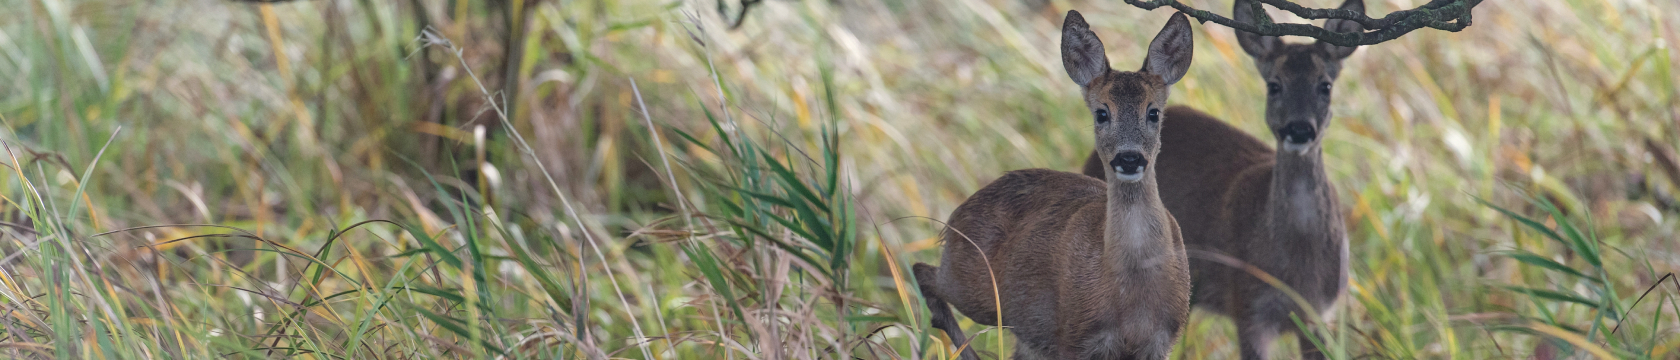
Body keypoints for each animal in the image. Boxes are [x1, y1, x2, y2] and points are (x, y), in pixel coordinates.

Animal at [913, 11, 1202, 360]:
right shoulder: (1074, 337)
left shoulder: (1160, 341)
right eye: (1102, 113)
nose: (1130, 158)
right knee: (922, 271)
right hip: (973, 284)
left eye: (1154, 113)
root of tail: (956, 216)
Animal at [1075, 1, 1364, 358]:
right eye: (1274, 85)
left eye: (1325, 85)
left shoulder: (1321, 313)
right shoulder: (1248, 307)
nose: (1299, 129)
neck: (1299, 267)